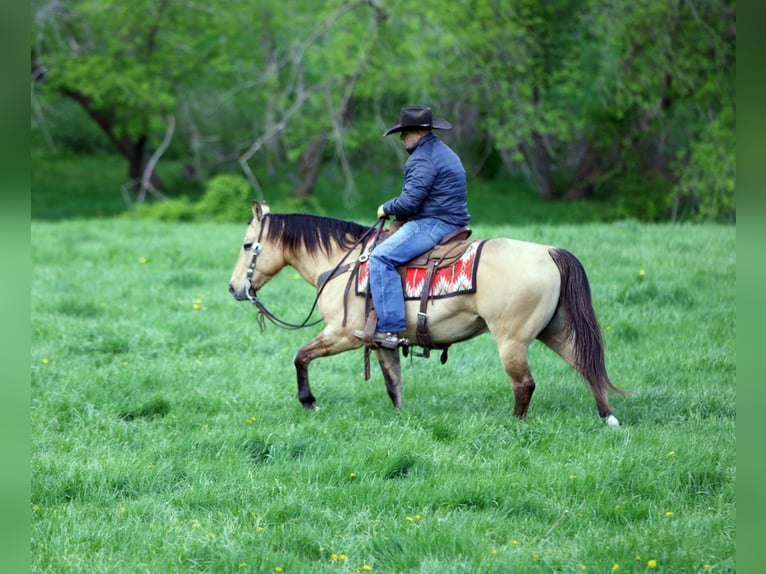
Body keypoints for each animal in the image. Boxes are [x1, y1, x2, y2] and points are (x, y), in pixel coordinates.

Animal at [228, 201, 625, 426]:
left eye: (248, 245)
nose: (234, 289)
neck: (344, 263)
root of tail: (548, 252)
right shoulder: (381, 341)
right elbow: (394, 385)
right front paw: (400, 418)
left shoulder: (340, 334)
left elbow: (300, 356)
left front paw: (309, 402)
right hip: (555, 330)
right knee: (586, 366)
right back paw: (608, 418)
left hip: (512, 340)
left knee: (524, 384)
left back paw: (516, 425)